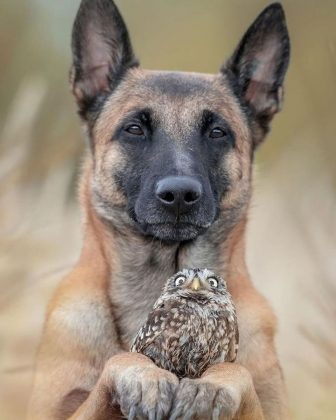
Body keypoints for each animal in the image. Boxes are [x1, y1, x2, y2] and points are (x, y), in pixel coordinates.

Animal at [28, 1, 290, 418]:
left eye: (217, 132)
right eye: (135, 129)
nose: (180, 195)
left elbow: (236, 370)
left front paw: (209, 387)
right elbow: (123, 358)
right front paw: (145, 376)